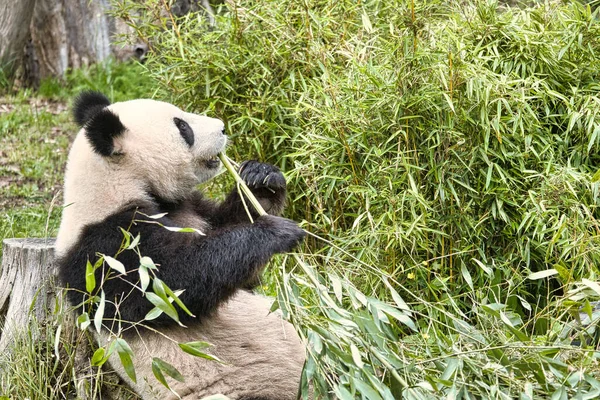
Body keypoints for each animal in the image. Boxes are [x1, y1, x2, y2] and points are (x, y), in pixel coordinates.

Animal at [55, 91, 308, 400]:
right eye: (183, 127)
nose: (222, 128)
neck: (116, 184)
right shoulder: (106, 250)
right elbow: (175, 284)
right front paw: (274, 232)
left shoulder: (186, 207)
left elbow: (240, 267)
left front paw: (261, 178)